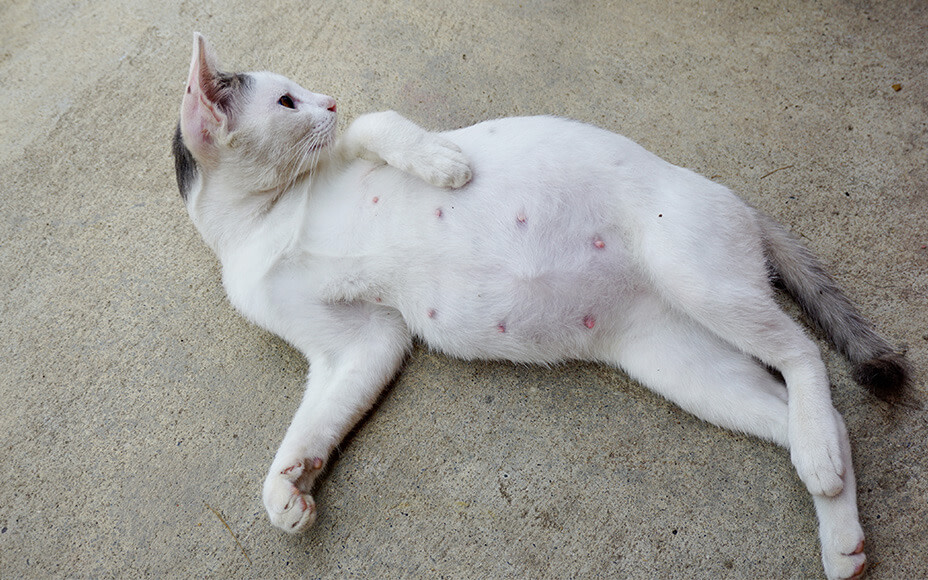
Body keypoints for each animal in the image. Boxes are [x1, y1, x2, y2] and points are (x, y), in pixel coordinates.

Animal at [172, 34, 908, 576]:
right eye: (287, 101)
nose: (329, 102)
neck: (263, 222)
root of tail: (737, 204)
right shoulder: (360, 343)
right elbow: (315, 421)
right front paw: (289, 486)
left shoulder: (357, 152)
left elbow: (382, 123)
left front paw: (446, 165)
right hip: (684, 364)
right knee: (811, 413)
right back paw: (836, 517)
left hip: (697, 278)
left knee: (803, 352)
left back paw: (820, 463)